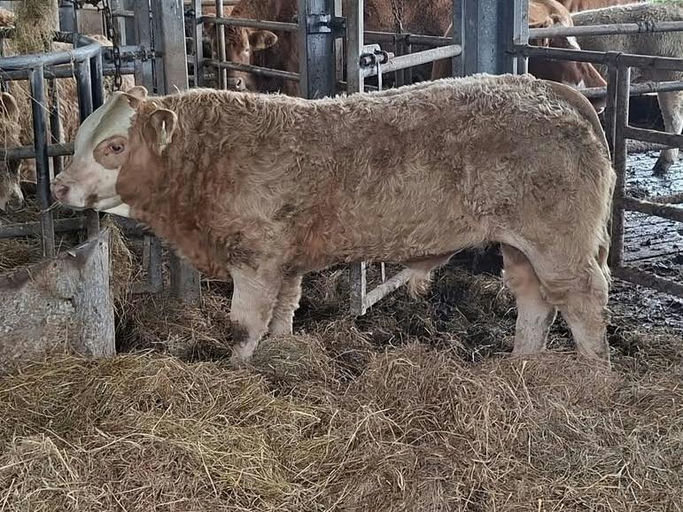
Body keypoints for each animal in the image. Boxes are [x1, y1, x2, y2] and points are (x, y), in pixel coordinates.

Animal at [51, 75, 615, 365]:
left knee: (582, 298)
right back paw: (522, 365)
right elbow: (284, 311)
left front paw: (235, 370)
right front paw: (280, 356)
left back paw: (593, 376)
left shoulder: (255, 256)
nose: (58, 186)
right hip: (521, 244)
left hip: (559, 242)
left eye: (114, 146)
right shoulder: (285, 260)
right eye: (78, 136)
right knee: (534, 298)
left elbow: (243, 324)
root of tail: (548, 89)